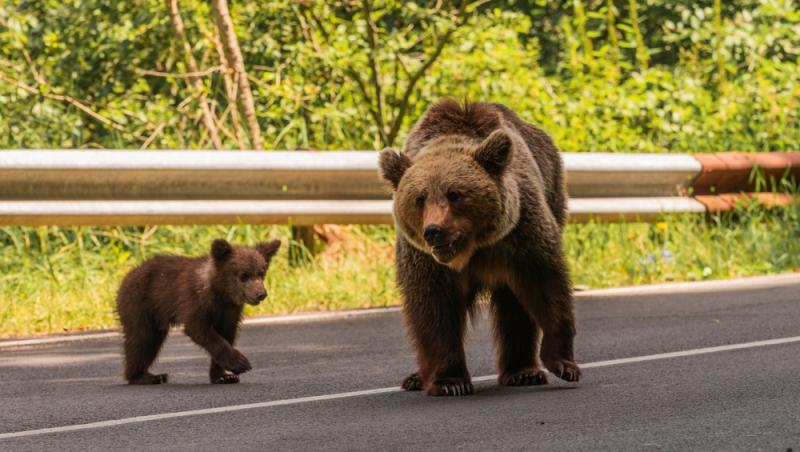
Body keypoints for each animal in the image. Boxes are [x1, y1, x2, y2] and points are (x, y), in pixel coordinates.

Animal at [378, 100, 580, 396]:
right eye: (420, 198)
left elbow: (545, 283)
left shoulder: (520, 234)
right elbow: (433, 308)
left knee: (513, 304)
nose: (433, 231)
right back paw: (415, 378)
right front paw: (450, 382)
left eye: (454, 194)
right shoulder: (424, 259)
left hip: (552, 192)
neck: (472, 248)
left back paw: (523, 372)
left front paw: (564, 364)